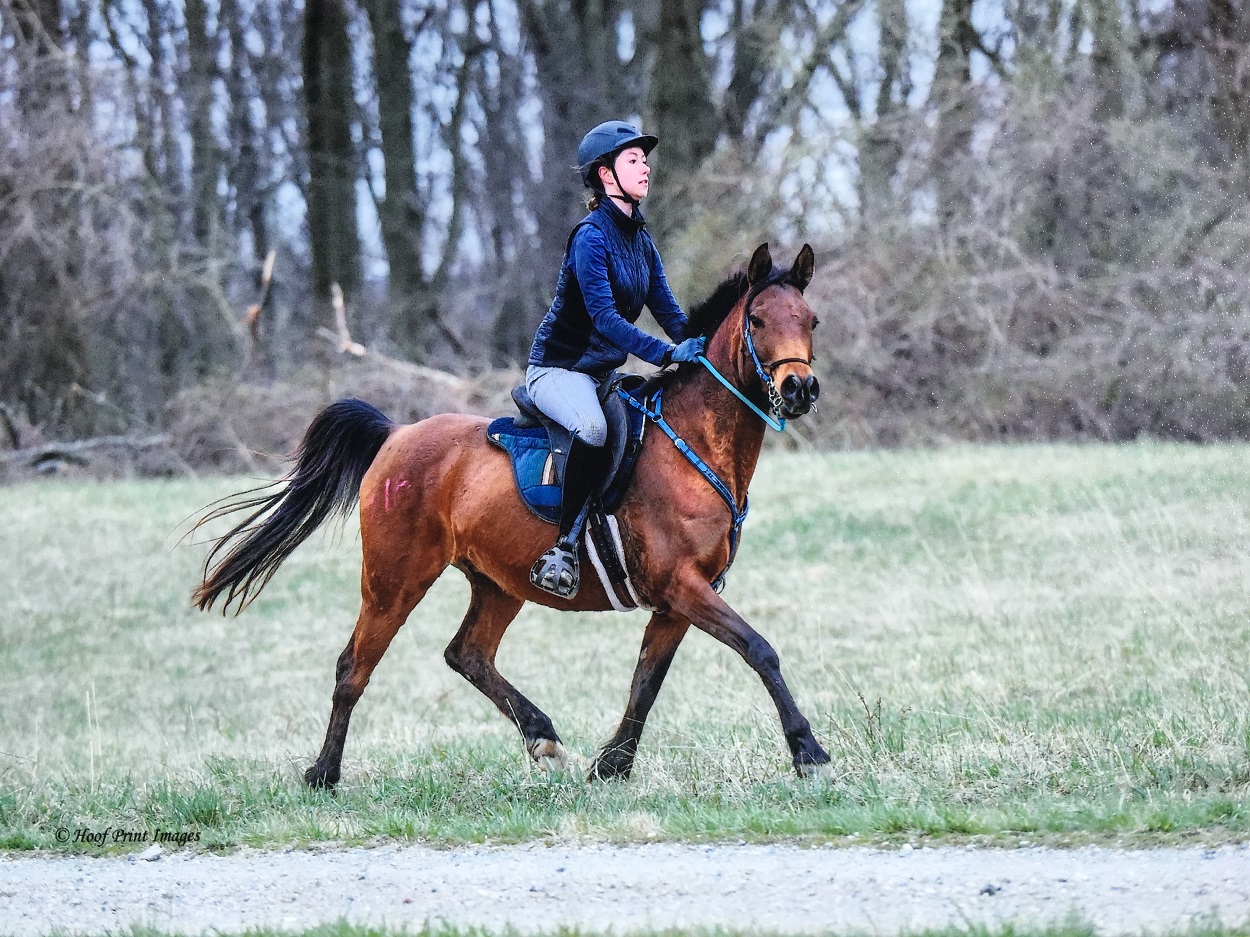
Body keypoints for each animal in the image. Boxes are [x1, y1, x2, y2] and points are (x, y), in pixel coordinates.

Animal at [195, 242, 830, 784]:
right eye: (758, 321)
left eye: (811, 321)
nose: (799, 388)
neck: (694, 442)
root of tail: (395, 435)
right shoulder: (681, 584)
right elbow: (759, 649)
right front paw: (808, 752)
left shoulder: (679, 599)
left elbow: (646, 681)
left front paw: (612, 765)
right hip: (394, 579)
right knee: (354, 667)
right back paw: (324, 773)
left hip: (498, 582)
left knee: (467, 653)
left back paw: (540, 734)